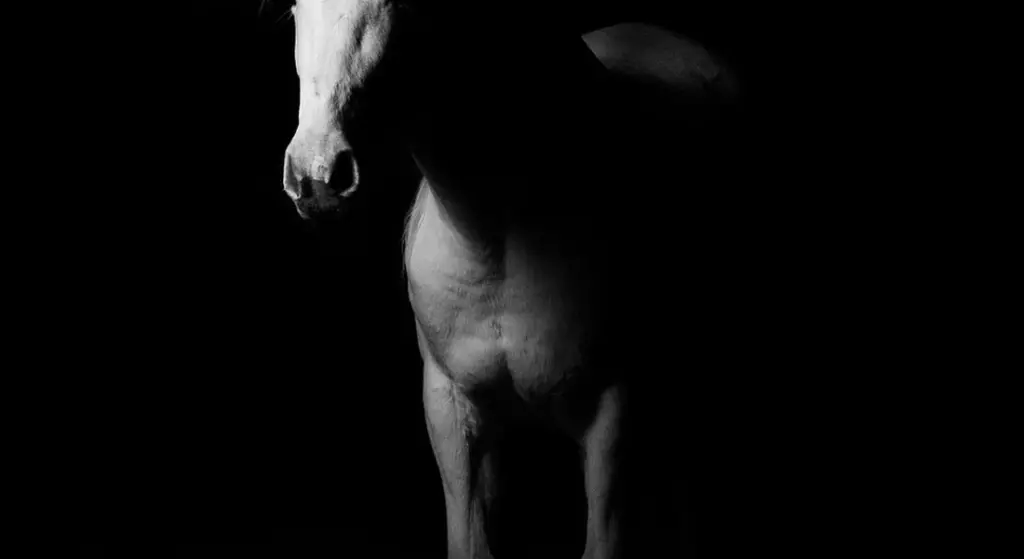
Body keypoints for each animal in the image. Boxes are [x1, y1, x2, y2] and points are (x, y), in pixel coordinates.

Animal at [278, 1, 741, 556]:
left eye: (399, 8)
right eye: (296, 8)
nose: (317, 174)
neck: (495, 237)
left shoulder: (613, 417)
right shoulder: (451, 413)